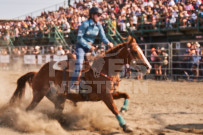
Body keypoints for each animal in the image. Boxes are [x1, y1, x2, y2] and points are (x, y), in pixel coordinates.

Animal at [10, 36, 151, 132]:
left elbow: (126, 95)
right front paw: (125, 126)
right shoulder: (105, 96)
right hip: (38, 95)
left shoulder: (112, 93)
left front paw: (124, 109)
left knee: (57, 110)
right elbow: (114, 109)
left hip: (57, 98)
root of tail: (37, 72)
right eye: (134, 52)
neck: (104, 69)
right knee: (29, 109)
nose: (148, 67)